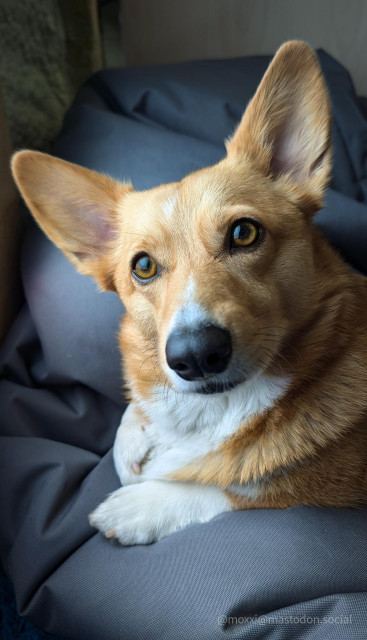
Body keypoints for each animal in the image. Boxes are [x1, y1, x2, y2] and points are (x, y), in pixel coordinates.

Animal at [11, 41, 367, 544]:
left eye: (244, 233)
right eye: (143, 266)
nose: (196, 356)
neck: (216, 409)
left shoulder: (324, 486)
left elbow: (239, 485)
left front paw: (140, 504)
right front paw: (133, 439)